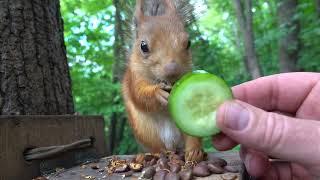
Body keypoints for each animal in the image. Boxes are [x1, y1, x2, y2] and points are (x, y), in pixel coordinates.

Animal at [121, 0, 204, 163]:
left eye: (188, 43)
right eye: (143, 46)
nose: (172, 69)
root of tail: (173, 145)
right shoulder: (134, 78)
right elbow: (139, 95)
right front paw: (157, 93)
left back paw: (194, 151)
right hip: (146, 131)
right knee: (158, 148)